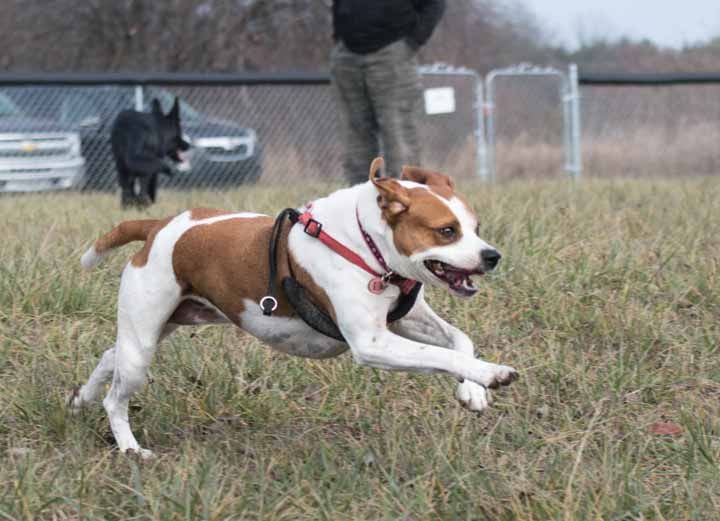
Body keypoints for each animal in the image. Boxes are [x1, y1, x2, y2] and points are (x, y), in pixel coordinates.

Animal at [70, 157, 516, 456]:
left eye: (476, 228)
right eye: (447, 231)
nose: (492, 256)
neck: (365, 242)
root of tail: (159, 225)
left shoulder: (405, 320)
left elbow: (459, 341)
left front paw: (472, 392)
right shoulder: (372, 344)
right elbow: (442, 355)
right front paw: (491, 374)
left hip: (157, 327)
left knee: (110, 356)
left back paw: (81, 399)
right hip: (143, 343)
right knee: (116, 398)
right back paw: (131, 449)